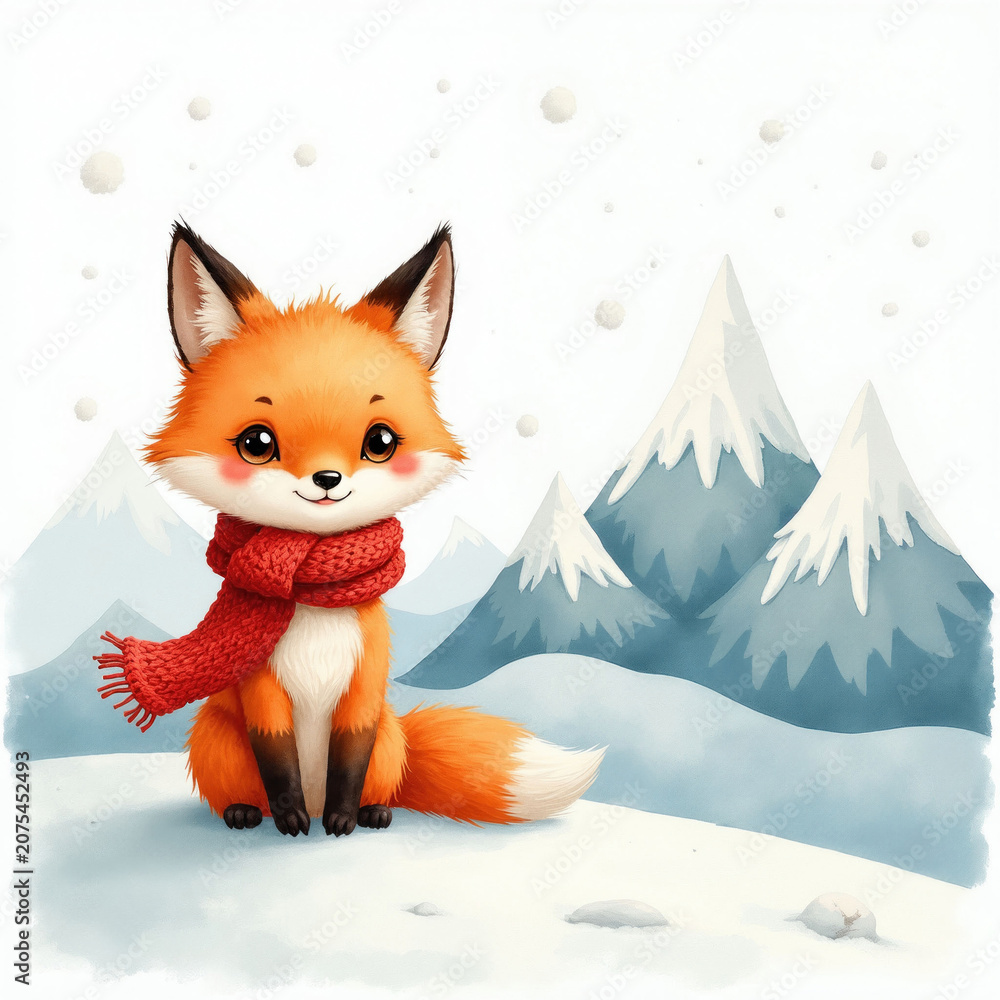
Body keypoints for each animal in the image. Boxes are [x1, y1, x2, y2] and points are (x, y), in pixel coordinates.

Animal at [134, 221, 604, 837]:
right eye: (257, 443)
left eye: (379, 441)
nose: (327, 479)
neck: (314, 597)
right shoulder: (261, 690)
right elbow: (276, 755)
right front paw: (290, 818)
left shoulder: (365, 685)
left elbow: (350, 756)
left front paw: (342, 819)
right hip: (215, 734)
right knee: (237, 788)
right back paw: (246, 812)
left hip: (390, 735)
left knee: (384, 780)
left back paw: (374, 811)